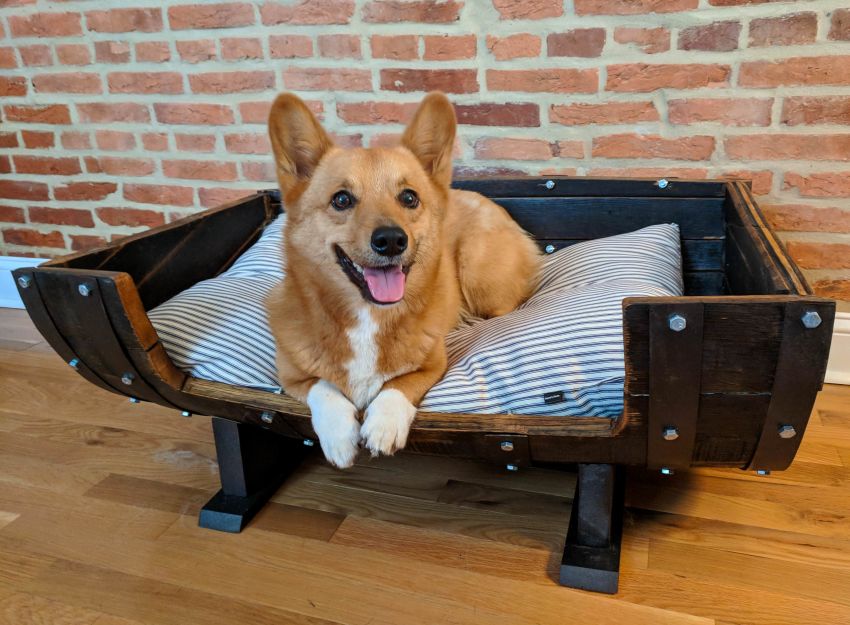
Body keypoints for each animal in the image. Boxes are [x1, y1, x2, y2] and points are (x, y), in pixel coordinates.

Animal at [264, 90, 536, 466]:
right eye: (341, 199)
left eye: (409, 197)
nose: (392, 240)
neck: (368, 316)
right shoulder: (290, 376)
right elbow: (325, 389)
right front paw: (338, 436)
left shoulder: (432, 365)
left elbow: (397, 386)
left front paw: (384, 424)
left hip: (479, 275)